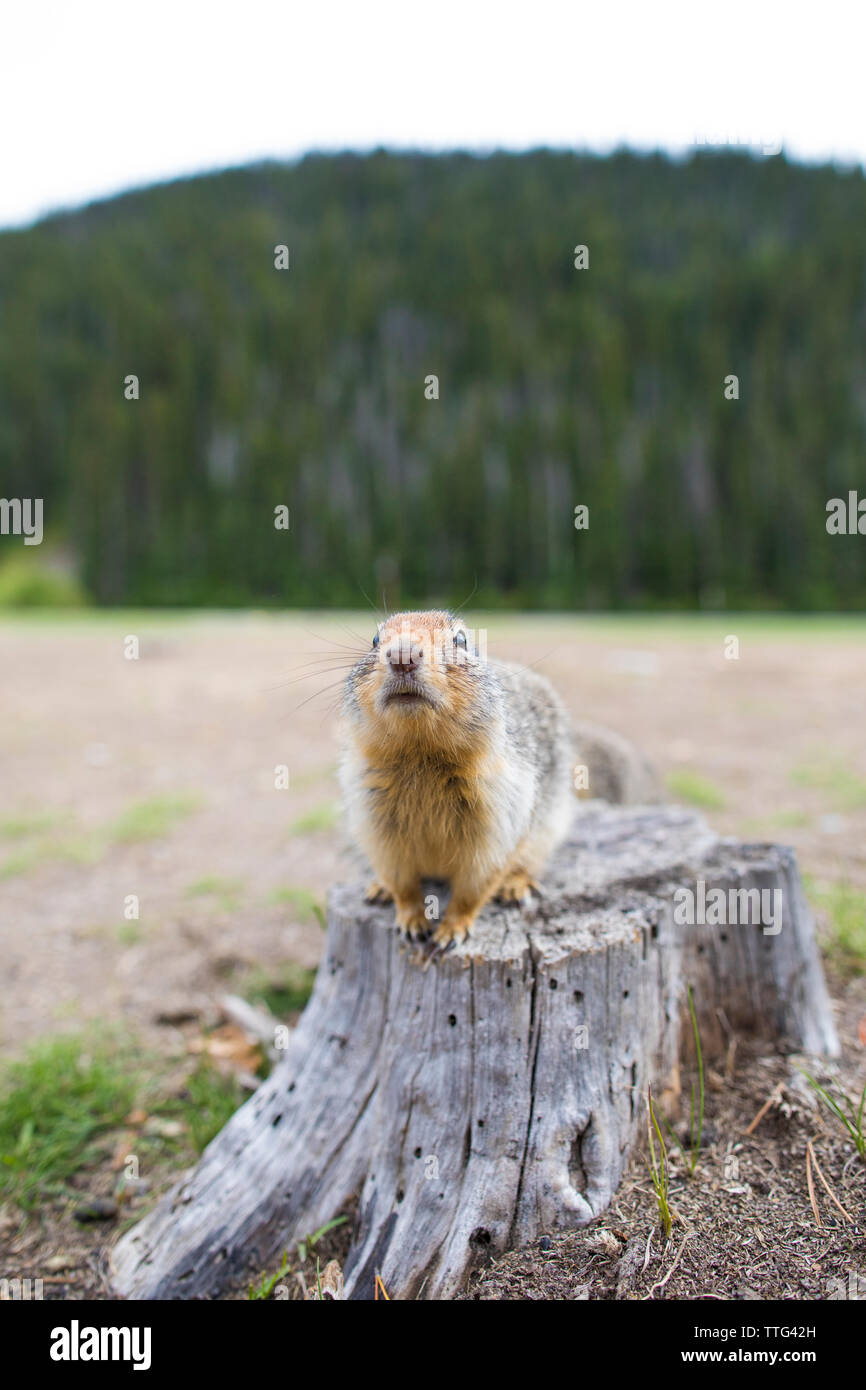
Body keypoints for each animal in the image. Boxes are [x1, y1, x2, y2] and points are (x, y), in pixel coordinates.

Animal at [339, 614, 575, 950]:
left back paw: (516, 886)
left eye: (461, 640)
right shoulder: (375, 824)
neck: (420, 755)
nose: (401, 655)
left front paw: (450, 932)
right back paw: (378, 888)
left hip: (548, 828)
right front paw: (412, 922)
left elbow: (474, 888)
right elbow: (401, 881)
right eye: (374, 640)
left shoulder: (497, 824)